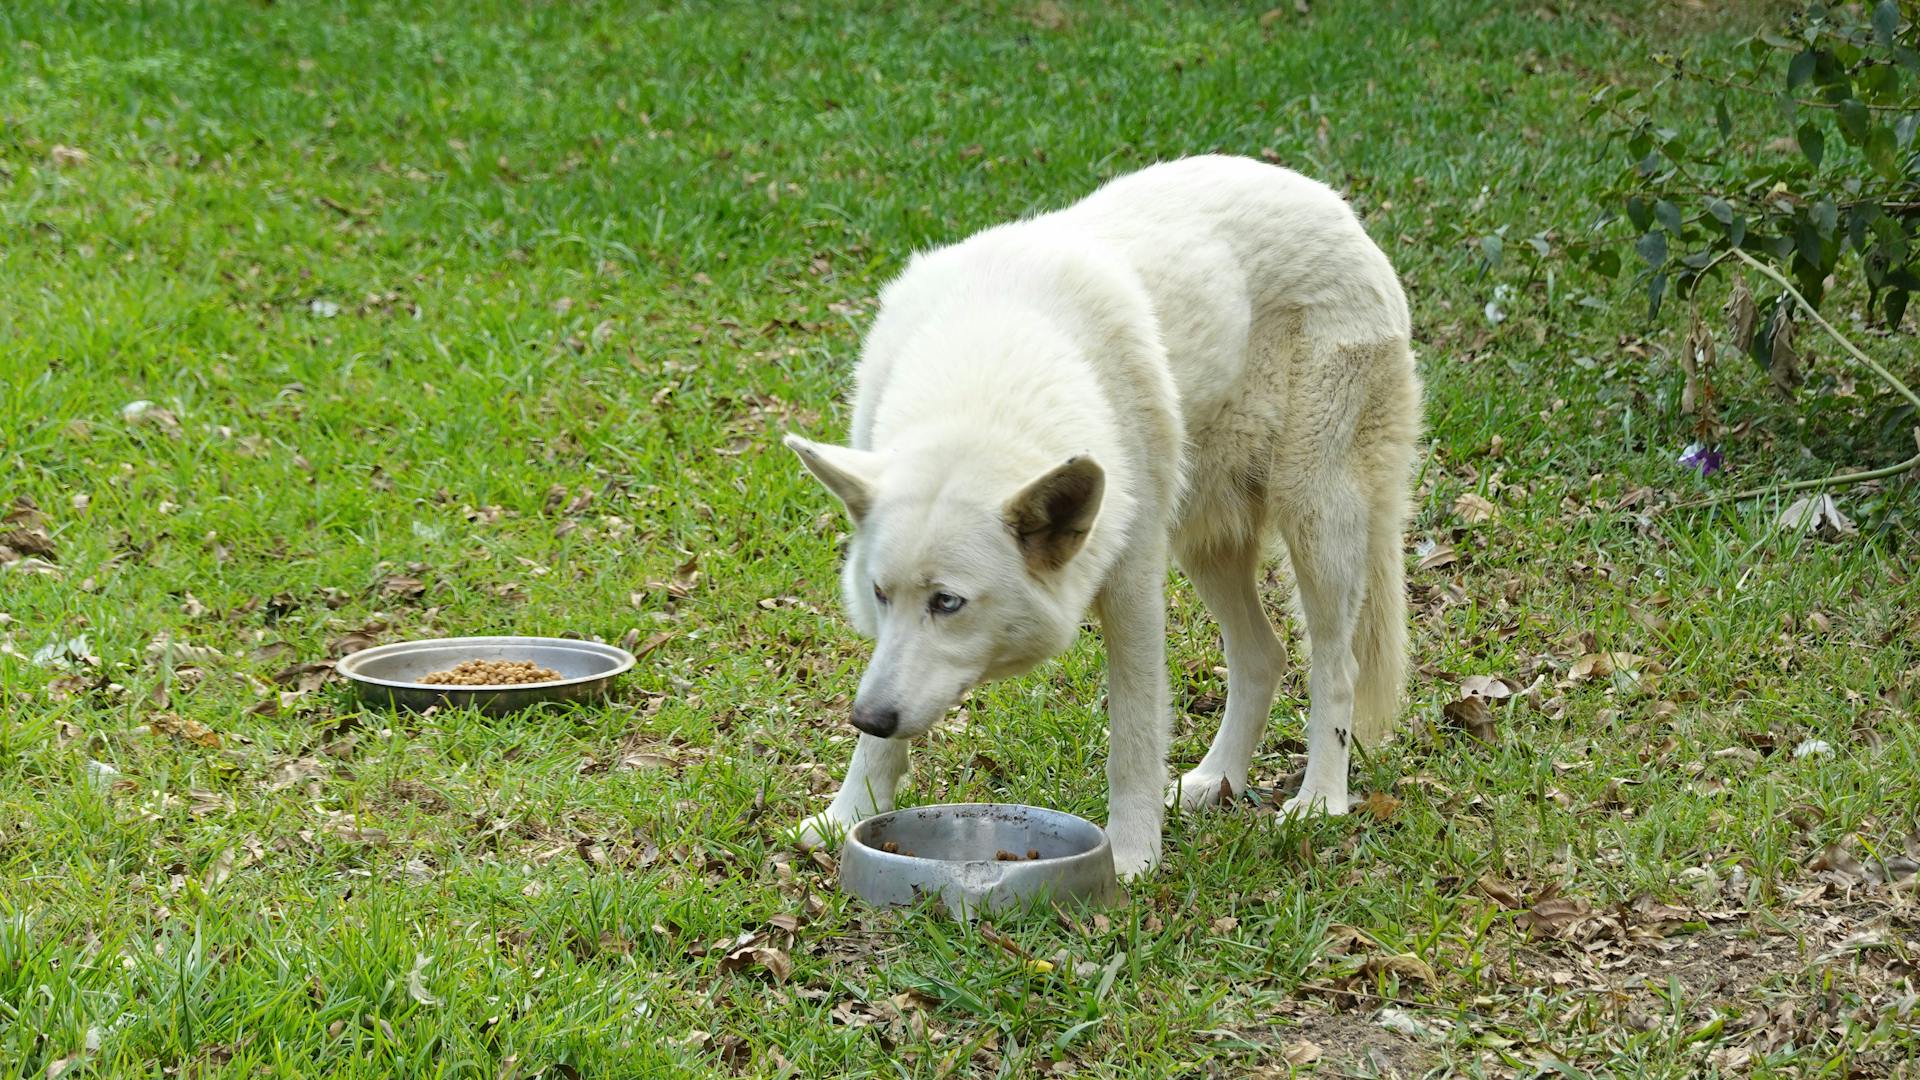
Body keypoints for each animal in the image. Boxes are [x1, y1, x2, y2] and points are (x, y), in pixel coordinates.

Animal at [783, 153, 1428, 876]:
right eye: (878, 594)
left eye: (948, 602)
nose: (865, 714)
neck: (988, 382)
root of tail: (1329, 201)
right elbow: (883, 744)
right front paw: (847, 817)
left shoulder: (1132, 588)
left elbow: (1135, 739)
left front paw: (1130, 859)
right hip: (1208, 543)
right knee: (1264, 654)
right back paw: (1214, 782)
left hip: (1316, 524)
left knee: (1334, 668)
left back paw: (1320, 800)